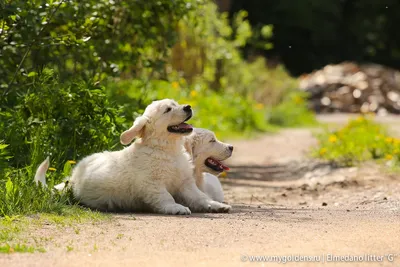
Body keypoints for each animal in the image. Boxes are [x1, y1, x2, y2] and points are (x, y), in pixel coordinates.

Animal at [36, 99, 233, 216]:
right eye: (168, 109)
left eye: (176, 103)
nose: (188, 107)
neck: (167, 149)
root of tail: (72, 178)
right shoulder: (153, 184)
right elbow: (166, 197)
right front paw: (176, 207)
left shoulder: (185, 184)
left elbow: (201, 197)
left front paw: (216, 205)